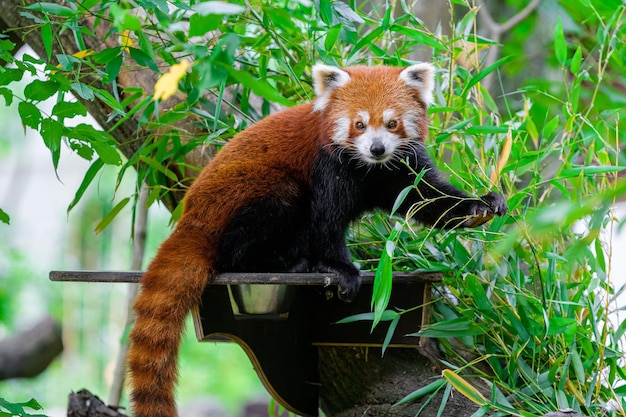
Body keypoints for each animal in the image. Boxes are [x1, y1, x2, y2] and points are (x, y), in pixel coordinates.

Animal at [127, 62, 508, 416]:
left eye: (392, 123)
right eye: (359, 124)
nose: (377, 149)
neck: (368, 168)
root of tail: (191, 219)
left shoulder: (402, 167)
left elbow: (427, 198)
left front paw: (481, 205)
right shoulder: (328, 164)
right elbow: (327, 220)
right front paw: (341, 269)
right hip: (249, 193)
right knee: (253, 230)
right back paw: (287, 264)